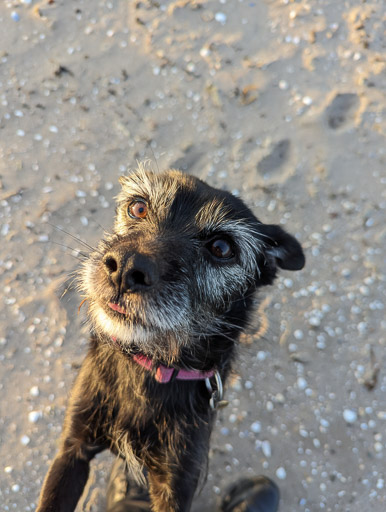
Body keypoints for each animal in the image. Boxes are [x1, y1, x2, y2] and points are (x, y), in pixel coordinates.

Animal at [37, 166, 306, 510]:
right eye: (138, 208)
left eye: (221, 248)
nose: (125, 267)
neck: (149, 367)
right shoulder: (73, 450)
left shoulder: (178, 481)